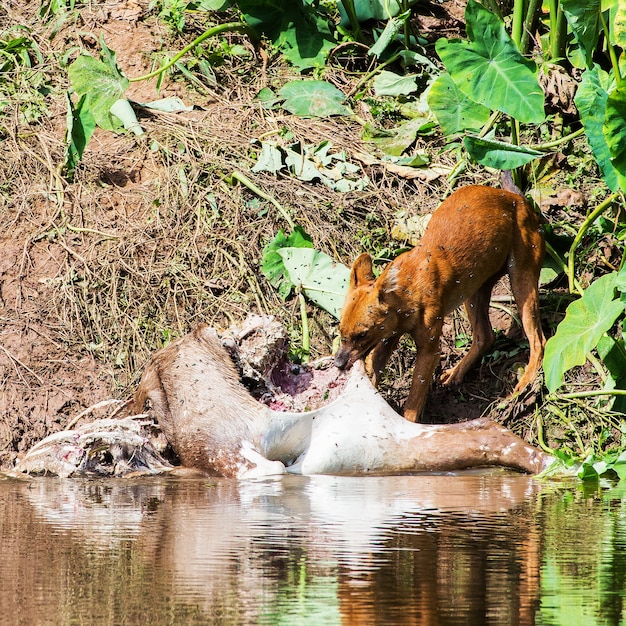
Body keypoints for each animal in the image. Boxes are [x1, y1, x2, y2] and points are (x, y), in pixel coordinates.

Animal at [334, 183, 544, 422]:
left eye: (362, 334)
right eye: (340, 331)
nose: (338, 363)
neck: (411, 289)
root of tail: (514, 196)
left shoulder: (430, 349)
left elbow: (413, 402)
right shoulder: (389, 336)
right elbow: (374, 371)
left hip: (521, 280)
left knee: (539, 341)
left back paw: (525, 384)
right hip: (473, 292)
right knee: (486, 336)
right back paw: (456, 373)